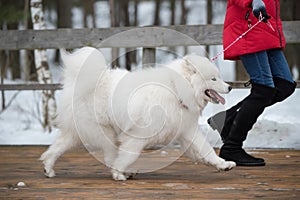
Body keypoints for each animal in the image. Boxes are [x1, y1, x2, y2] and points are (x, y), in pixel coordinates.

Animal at [41, 47, 236, 181]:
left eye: (218, 77)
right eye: (213, 79)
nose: (230, 87)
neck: (176, 89)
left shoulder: (187, 130)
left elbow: (206, 150)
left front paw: (223, 164)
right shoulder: (137, 135)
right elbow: (129, 155)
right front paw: (118, 172)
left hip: (78, 132)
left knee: (57, 148)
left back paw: (48, 168)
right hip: (104, 132)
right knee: (110, 154)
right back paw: (120, 173)